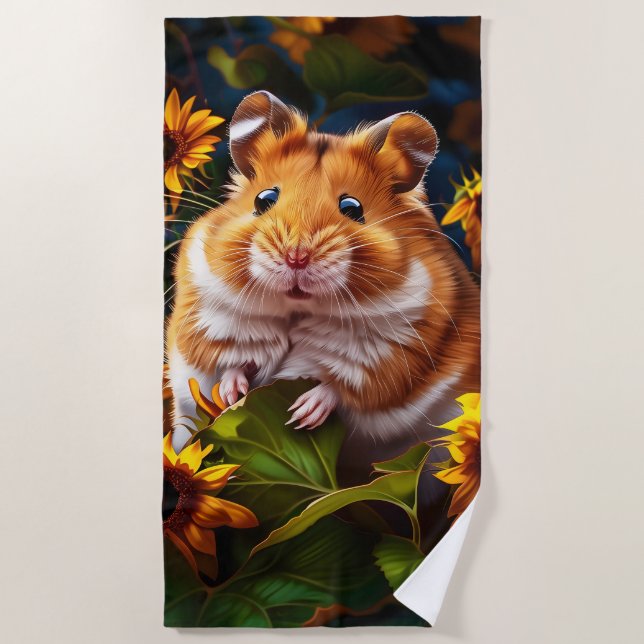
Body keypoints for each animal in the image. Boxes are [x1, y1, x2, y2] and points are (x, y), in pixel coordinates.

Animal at [167, 91, 480, 453]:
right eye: (264, 199)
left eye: (353, 208)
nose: (296, 257)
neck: (297, 309)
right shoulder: (211, 322)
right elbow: (228, 365)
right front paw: (234, 396)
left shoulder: (396, 351)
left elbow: (344, 385)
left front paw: (301, 413)